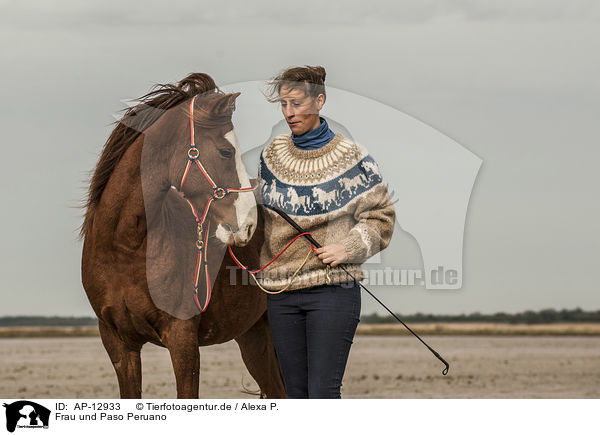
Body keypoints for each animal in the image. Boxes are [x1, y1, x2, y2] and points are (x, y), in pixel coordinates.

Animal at [80, 73, 286, 400]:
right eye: (226, 151)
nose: (249, 224)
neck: (124, 248)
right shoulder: (119, 344)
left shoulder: (182, 339)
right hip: (254, 337)